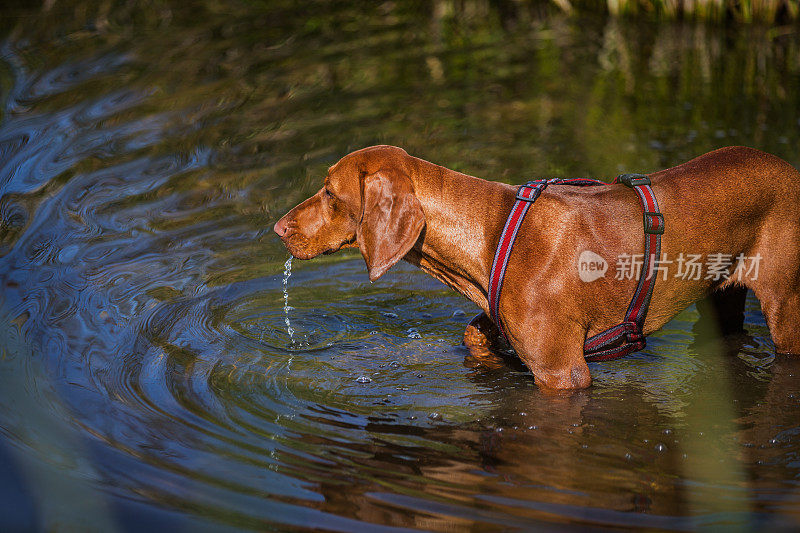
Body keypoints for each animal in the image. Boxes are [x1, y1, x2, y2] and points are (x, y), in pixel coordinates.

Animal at [276, 145, 800, 390]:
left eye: (329, 191)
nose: (279, 228)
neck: (489, 233)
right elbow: (475, 335)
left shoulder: (562, 373)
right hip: (724, 298)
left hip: (785, 308)